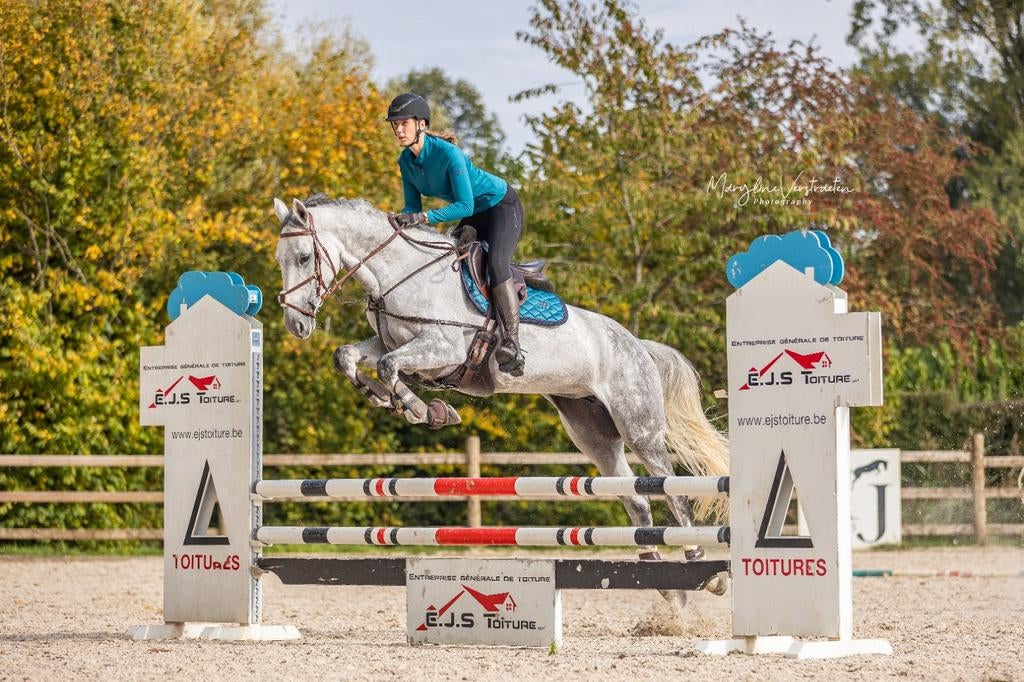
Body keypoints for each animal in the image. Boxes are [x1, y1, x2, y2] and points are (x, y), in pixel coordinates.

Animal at [272, 194, 730, 604]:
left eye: (303, 257)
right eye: (280, 260)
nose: (296, 325)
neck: (401, 275)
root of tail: (638, 345)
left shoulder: (442, 349)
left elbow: (388, 366)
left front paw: (427, 410)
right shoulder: (393, 342)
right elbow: (349, 356)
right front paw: (387, 400)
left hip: (639, 426)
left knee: (672, 491)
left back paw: (703, 568)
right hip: (593, 435)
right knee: (635, 499)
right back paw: (664, 583)